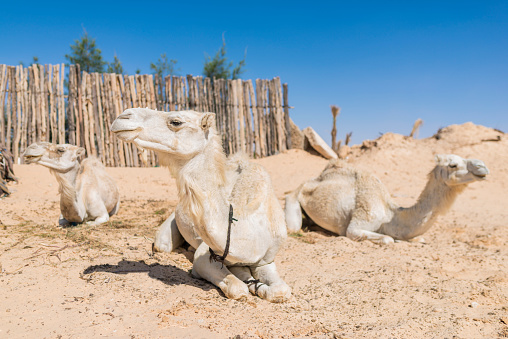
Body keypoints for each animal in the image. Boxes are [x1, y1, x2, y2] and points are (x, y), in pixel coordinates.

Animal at [111, 108, 292, 302]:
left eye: (176, 122)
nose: (123, 116)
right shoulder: (204, 256)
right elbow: (237, 288)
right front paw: (247, 281)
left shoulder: (267, 259)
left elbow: (281, 290)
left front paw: (259, 285)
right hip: (166, 236)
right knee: (162, 244)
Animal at [286, 155, 488, 246]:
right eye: (453, 165)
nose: (482, 167)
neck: (390, 216)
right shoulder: (357, 225)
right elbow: (387, 239)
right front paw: (394, 240)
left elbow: (419, 239)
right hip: (296, 195)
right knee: (293, 221)